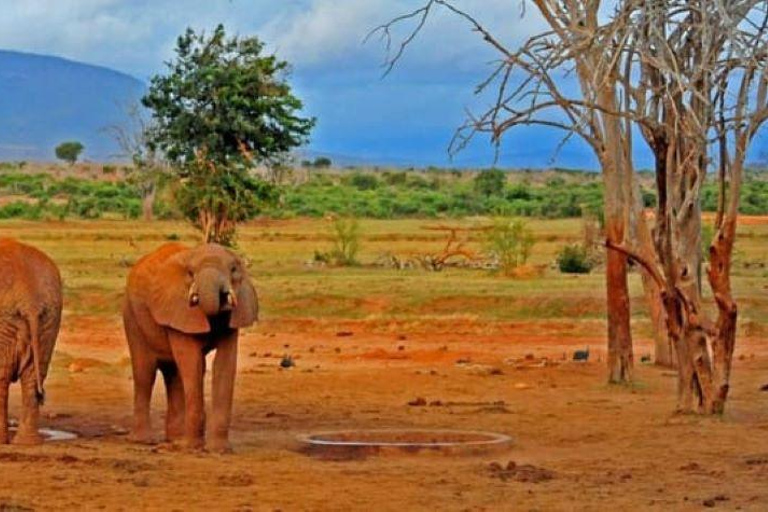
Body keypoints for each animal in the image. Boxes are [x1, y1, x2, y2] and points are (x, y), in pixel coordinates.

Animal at [123, 244, 260, 452]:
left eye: (233, 269)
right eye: (190, 273)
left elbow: (224, 365)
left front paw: (218, 450)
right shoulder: (178, 309)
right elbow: (192, 362)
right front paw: (192, 447)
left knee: (174, 374)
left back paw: (174, 440)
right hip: (132, 314)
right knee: (145, 372)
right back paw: (144, 441)